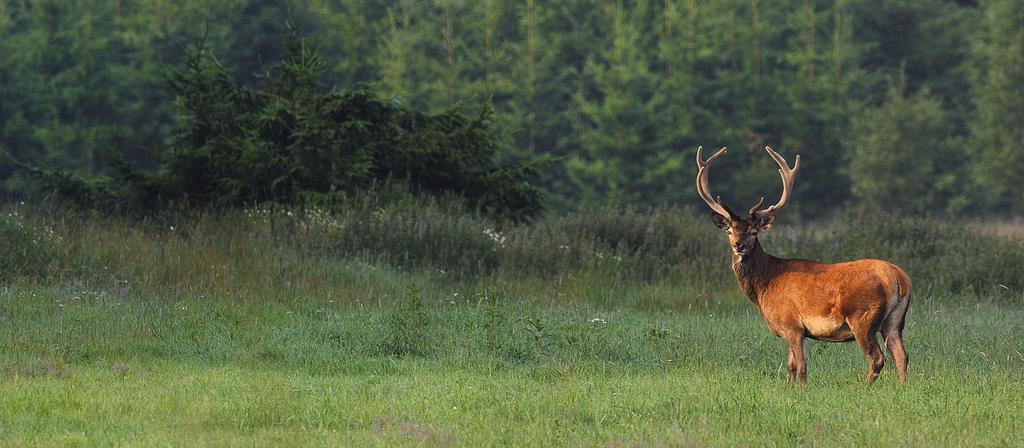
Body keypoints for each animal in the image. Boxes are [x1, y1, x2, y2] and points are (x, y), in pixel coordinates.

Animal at [696, 147, 913, 384]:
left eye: (754, 232)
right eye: (729, 231)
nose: (739, 245)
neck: (765, 285)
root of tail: (899, 279)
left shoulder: (792, 324)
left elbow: (801, 366)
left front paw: (803, 388)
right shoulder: (790, 330)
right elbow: (790, 366)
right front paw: (790, 388)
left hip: (862, 317)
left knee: (877, 358)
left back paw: (864, 387)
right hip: (894, 320)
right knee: (902, 356)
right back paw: (902, 386)